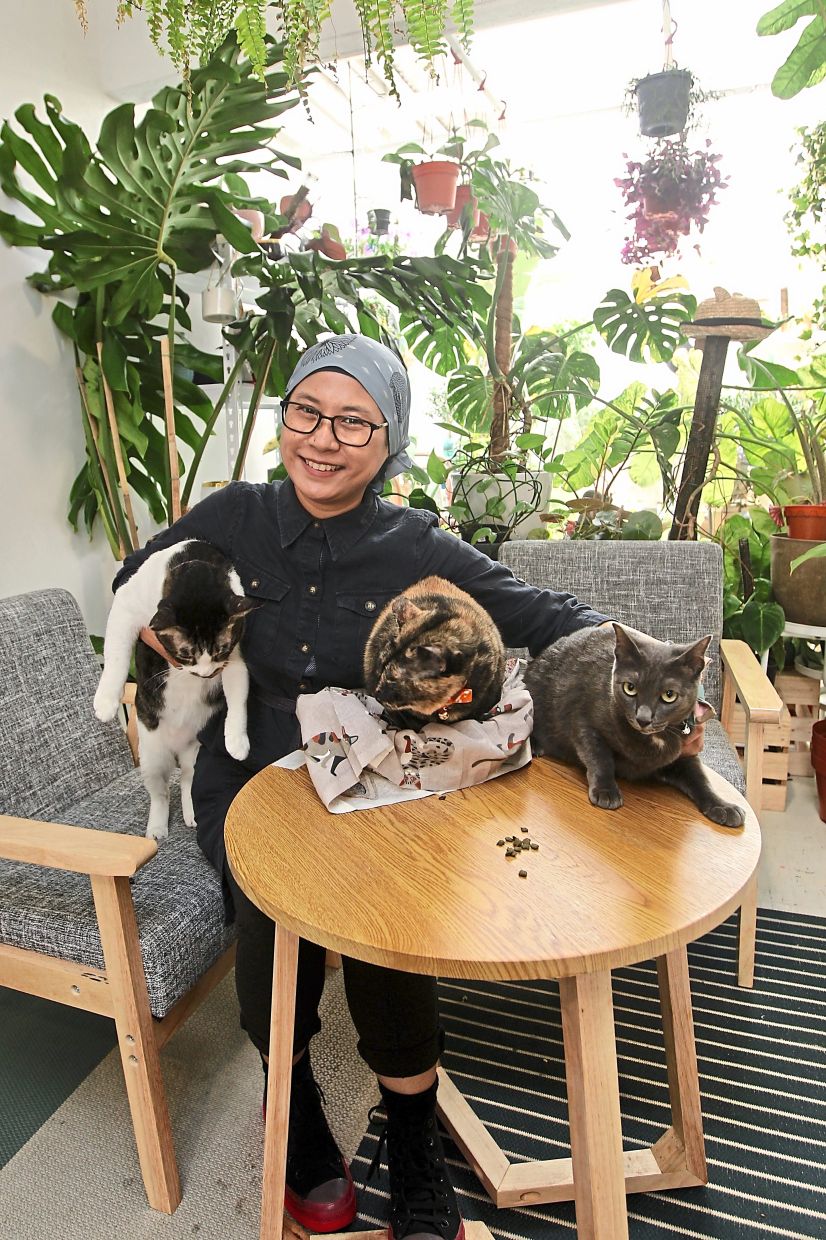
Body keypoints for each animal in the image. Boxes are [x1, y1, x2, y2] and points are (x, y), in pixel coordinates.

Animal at [92, 543, 257, 843]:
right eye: (185, 654)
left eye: (220, 651)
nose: (206, 674)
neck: (194, 566)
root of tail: (178, 748)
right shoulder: (126, 604)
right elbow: (116, 654)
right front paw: (106, 702)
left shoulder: (235, 655)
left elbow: (238, 696)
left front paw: (237, 740)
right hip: (152, 756)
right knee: (160, 793)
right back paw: (157, 828)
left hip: (195, 752)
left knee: (188, 780)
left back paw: (192, 813)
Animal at [523, 624, 744, 828]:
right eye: (630, 688)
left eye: (669, 695)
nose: (643, 718)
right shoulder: (584, 720)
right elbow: (599, 756)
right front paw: (606, 791)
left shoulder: (684, 752)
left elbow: (700, 778)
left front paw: (723, 806)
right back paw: (535, 746)